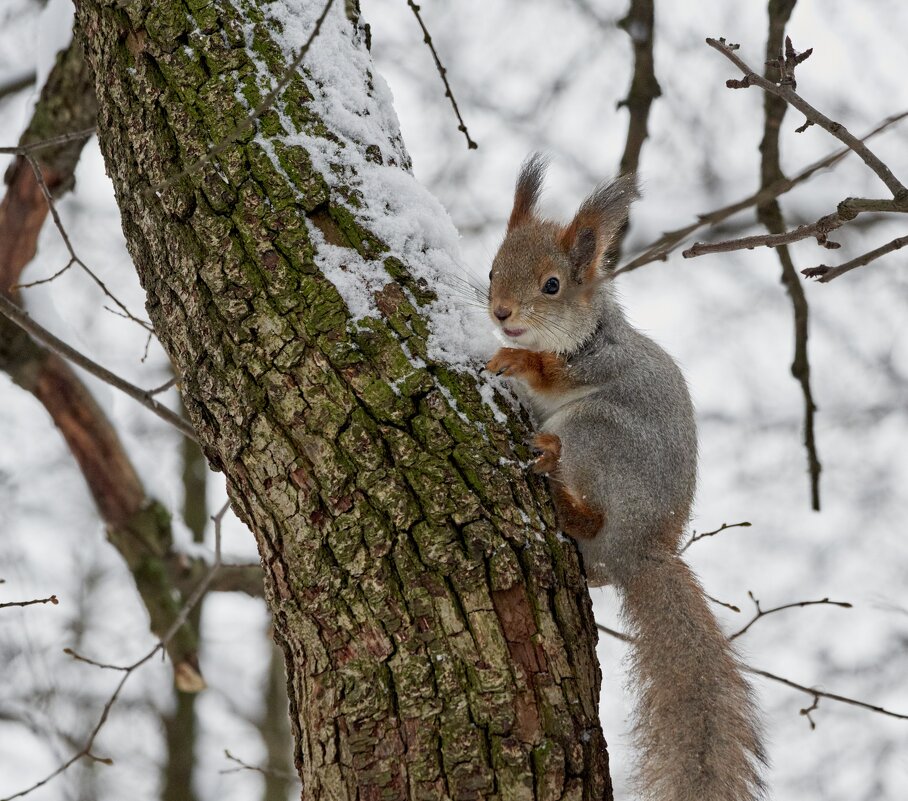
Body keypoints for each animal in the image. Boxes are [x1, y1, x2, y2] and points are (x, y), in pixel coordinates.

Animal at [486, 155, 764, 800]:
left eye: (552, 285)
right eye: (490, 269)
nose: (501, 315)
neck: (579, 329)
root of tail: (636, 548)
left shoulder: (604, 359)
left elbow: (554, 373)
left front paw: (519, 361)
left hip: (599, 435)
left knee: (588, 500)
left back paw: (556, 478)